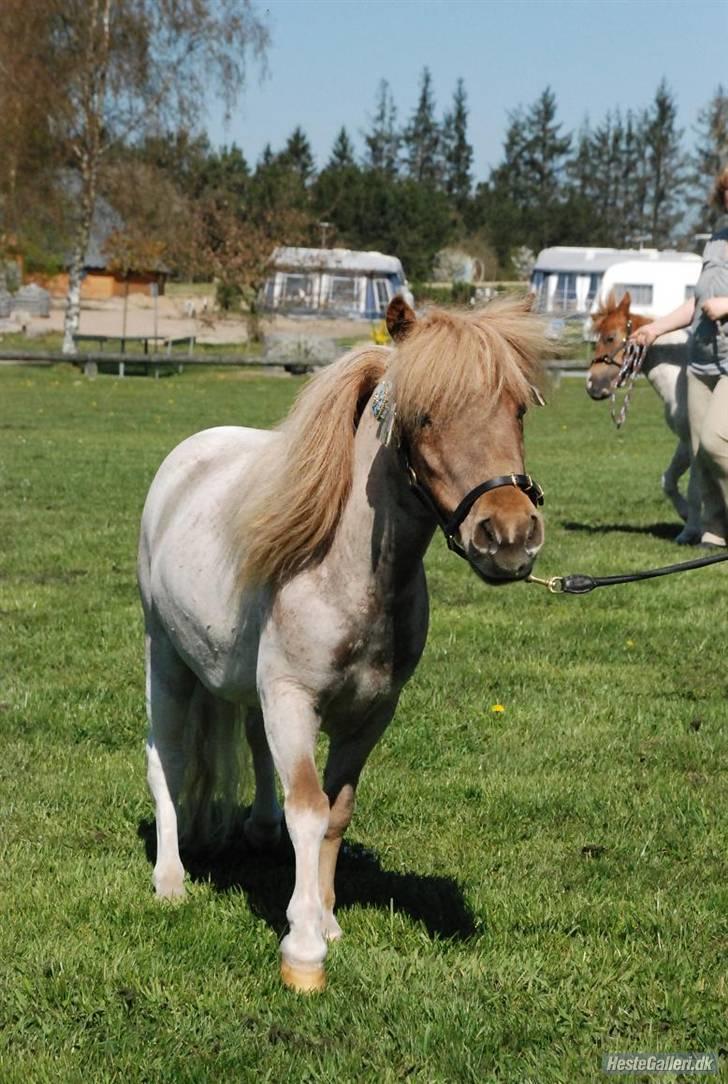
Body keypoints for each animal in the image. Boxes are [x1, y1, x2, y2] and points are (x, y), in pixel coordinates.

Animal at [136, 297, 546, 992]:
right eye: (424, 415)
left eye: (517, 408)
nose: (510, 536)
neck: (348, 574)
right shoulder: (293, 698)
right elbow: (308, 806)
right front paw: (303, 949)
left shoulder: (371, 714)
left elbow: (334, 811)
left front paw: (324, 918)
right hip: (165, 659)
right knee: (166, 760)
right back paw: (170, 882)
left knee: (253, 744)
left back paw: (259, 829)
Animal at [585, 290, 697, 546]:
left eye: (610, 338)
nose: (591, 386)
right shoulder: (685, 441)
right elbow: (668, 481)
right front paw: (687, 517)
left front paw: (690, 530)